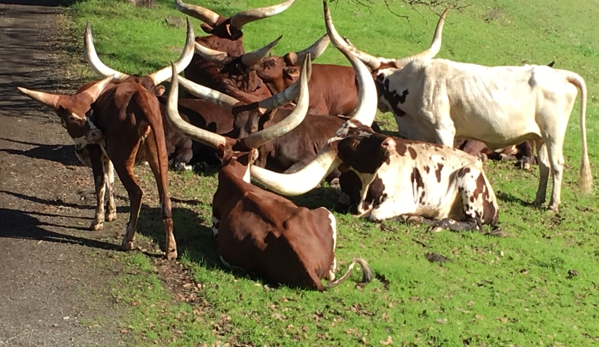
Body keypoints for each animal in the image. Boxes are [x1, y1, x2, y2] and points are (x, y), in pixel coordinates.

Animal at [324, 2, 592, 213]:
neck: (412, 85)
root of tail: (560, 74)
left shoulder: (444, 129)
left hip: (553, 134)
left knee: (557, 165)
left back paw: (552, 205)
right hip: (538, 137)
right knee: (545, 166)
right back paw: (537, 200)